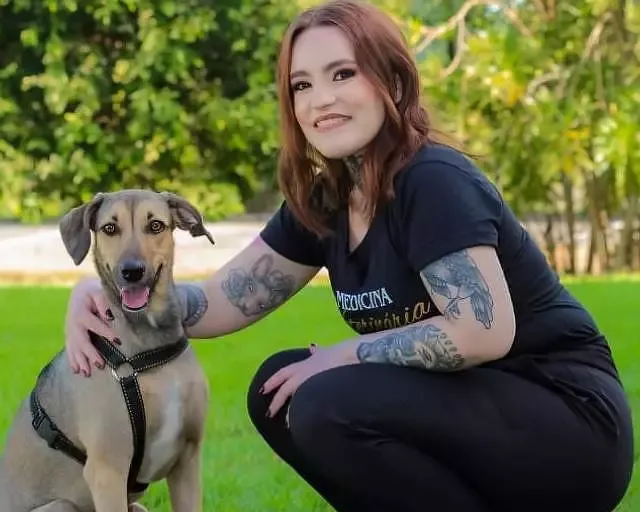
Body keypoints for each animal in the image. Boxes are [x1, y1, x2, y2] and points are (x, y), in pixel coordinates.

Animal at [0, 191, 215, 512]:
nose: (132, 272)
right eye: (109, 229)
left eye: (155, 225)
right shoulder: (107, 472)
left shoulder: (187, 462)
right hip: (61, 505)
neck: (148, 344)